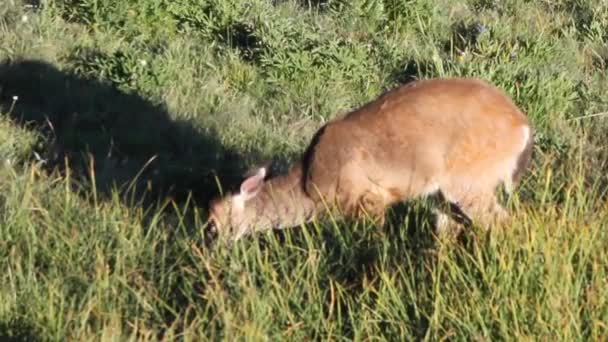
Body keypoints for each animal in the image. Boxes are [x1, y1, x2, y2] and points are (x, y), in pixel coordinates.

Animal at [207, 77, 536, 243]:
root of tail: (522, 126)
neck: (309, 185)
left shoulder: (368, 199)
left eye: (215, 222)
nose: (211, 245)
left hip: (469, 180)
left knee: (507, 223)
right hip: (442, 194)